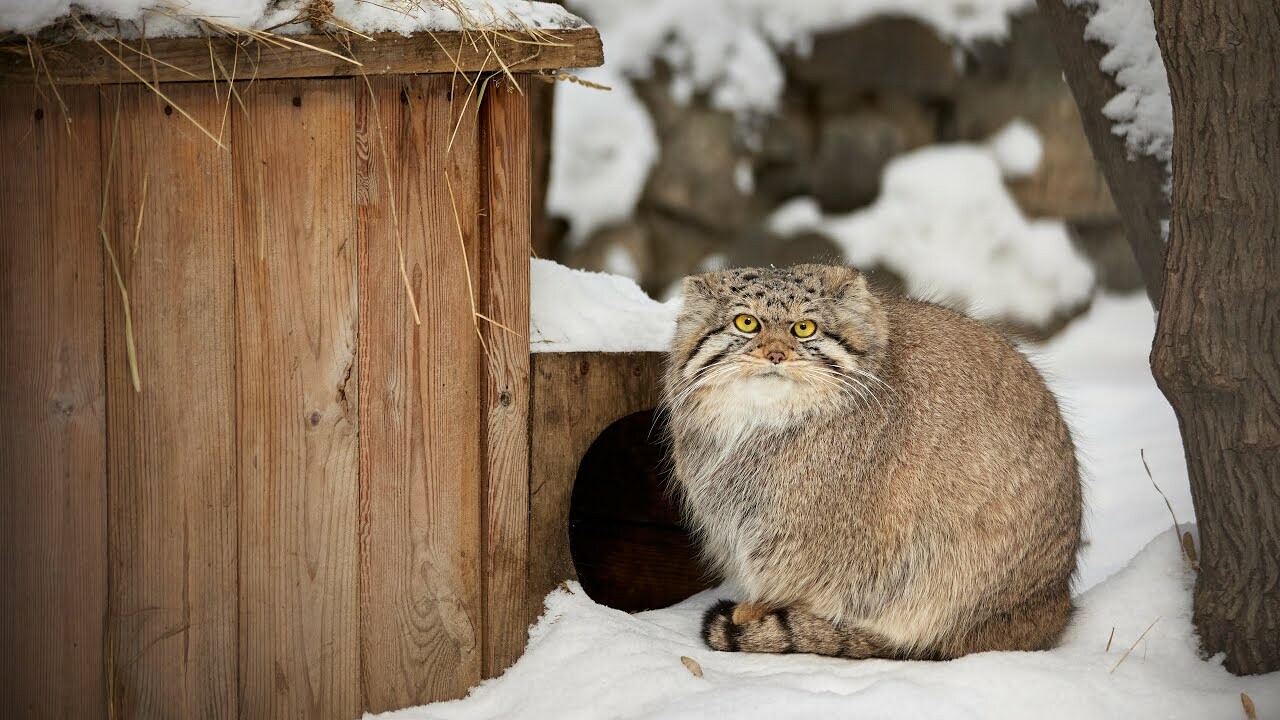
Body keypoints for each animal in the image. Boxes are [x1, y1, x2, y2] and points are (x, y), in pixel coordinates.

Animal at [665, 263, 1085, 655]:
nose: (776, 354)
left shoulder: (812, 536)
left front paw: (757, 613)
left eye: (804, 328)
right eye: (746, 322)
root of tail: (1055, 603)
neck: (762, 422)